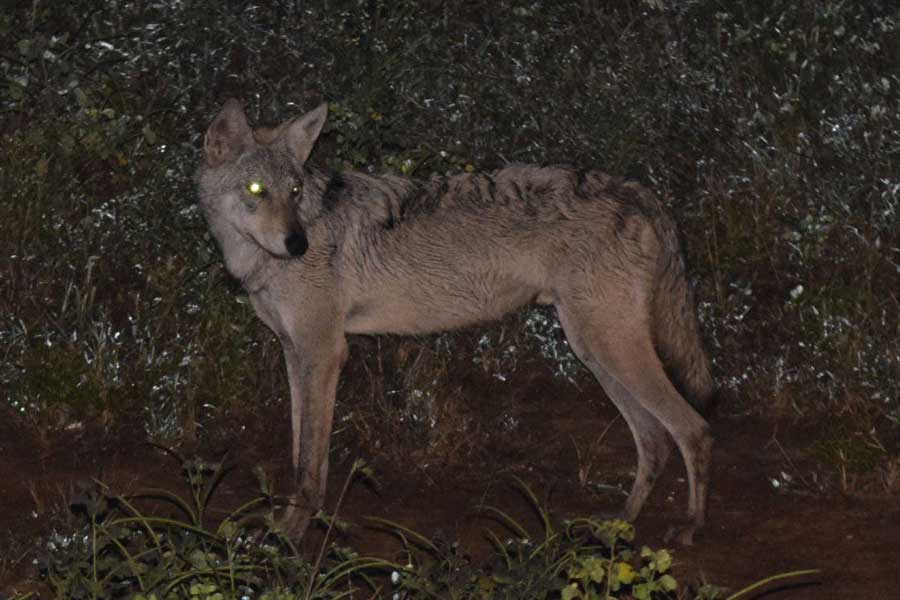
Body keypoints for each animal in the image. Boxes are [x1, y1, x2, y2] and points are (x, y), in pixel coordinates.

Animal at [196, 100, 715, 545]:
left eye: (294, 192)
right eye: (256, 191)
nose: (297, 244)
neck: (259, 262)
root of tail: (634, 189)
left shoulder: (323, 354)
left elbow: (309, 465)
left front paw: (291, 536)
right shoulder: (294, 352)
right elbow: (299, 451)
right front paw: (288, 524)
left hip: (609, 348)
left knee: (693, 428)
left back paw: (690, 527)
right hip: (594, 351)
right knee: (654, 439)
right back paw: (620, 525)